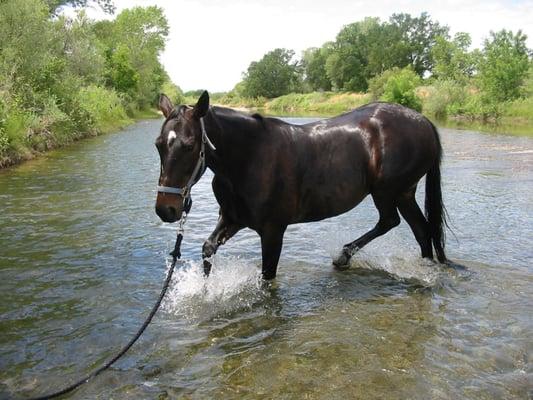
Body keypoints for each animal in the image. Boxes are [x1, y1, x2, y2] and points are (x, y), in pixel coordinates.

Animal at [153, 91, 444, 280]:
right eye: (158, 144)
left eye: (190, 145)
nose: (166, 209)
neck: (250, 157)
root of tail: (424, 121)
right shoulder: (232, 219)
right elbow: (208, 249)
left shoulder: (273, 231)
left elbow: (267, 278)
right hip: (404, 193)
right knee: (421, 231)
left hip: (387, 191)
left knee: (391, 221)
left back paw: (344, 256)